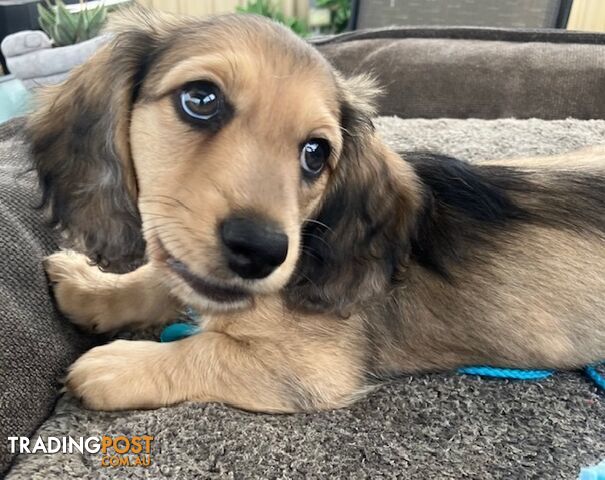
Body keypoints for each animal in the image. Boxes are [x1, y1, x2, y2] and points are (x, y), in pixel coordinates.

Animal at [28, 6, 604, 412]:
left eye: (315, 153)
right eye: (200, 99)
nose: (262, 252)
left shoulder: (312, 369)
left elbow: (206, 350)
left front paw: (116, 363)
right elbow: (158, 277)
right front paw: (92, 288)